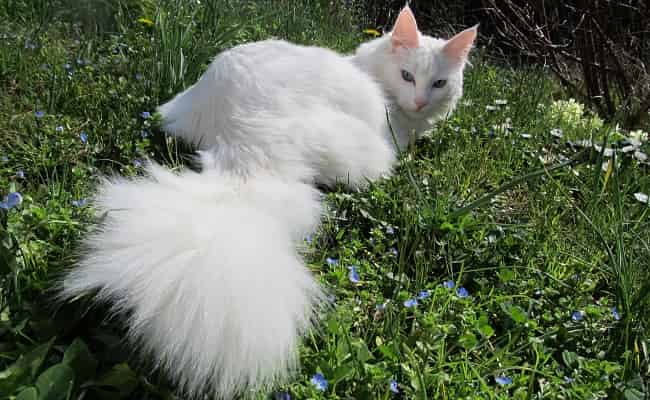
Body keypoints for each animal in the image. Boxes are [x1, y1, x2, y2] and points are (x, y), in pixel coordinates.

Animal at [59, 4, 476, 398]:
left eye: (439, 83)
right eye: (407, 76)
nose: (420, 102)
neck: (370, 68)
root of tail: (243, 141)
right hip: (367, 156)